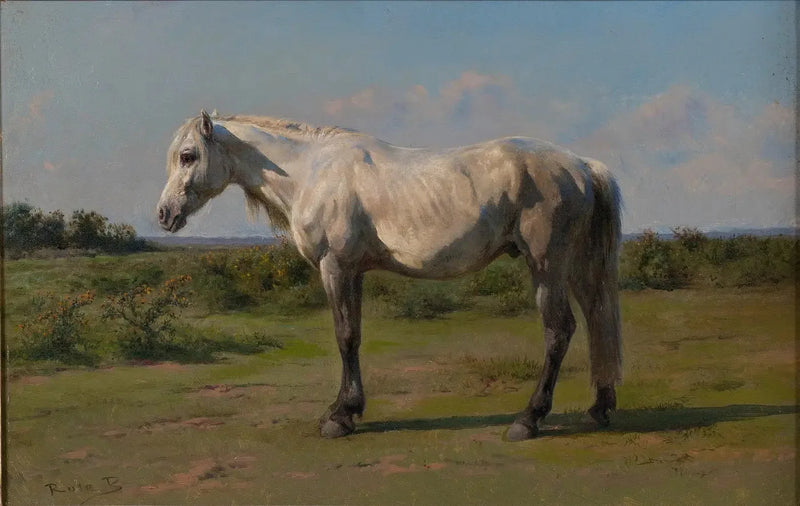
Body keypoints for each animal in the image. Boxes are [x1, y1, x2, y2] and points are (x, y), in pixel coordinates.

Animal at [157, 110, 622, 441]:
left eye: (188, 156)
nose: (164, 214)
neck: (311, 172)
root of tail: (582, 165)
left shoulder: (335, 267)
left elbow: (345, 337)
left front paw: (340, 417)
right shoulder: (354, 272)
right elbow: (355, 336)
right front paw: (348, 409)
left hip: (547, 264)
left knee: (559, 330)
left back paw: (528, 420)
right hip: (576, 266)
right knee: (597, 318)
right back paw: (599, 408)